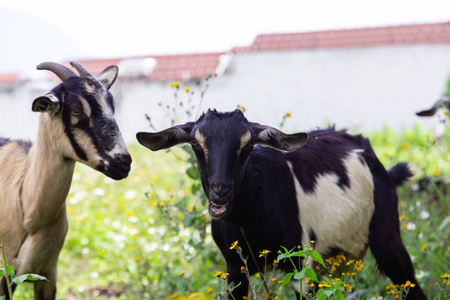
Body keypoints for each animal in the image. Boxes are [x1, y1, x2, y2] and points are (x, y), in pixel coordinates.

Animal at [136, 109, 426, 300]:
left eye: (247, 144)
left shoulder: (299, 263)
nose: (220, 190)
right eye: (196, 143)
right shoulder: (235, 269)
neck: (250, 219)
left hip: (386, 233)